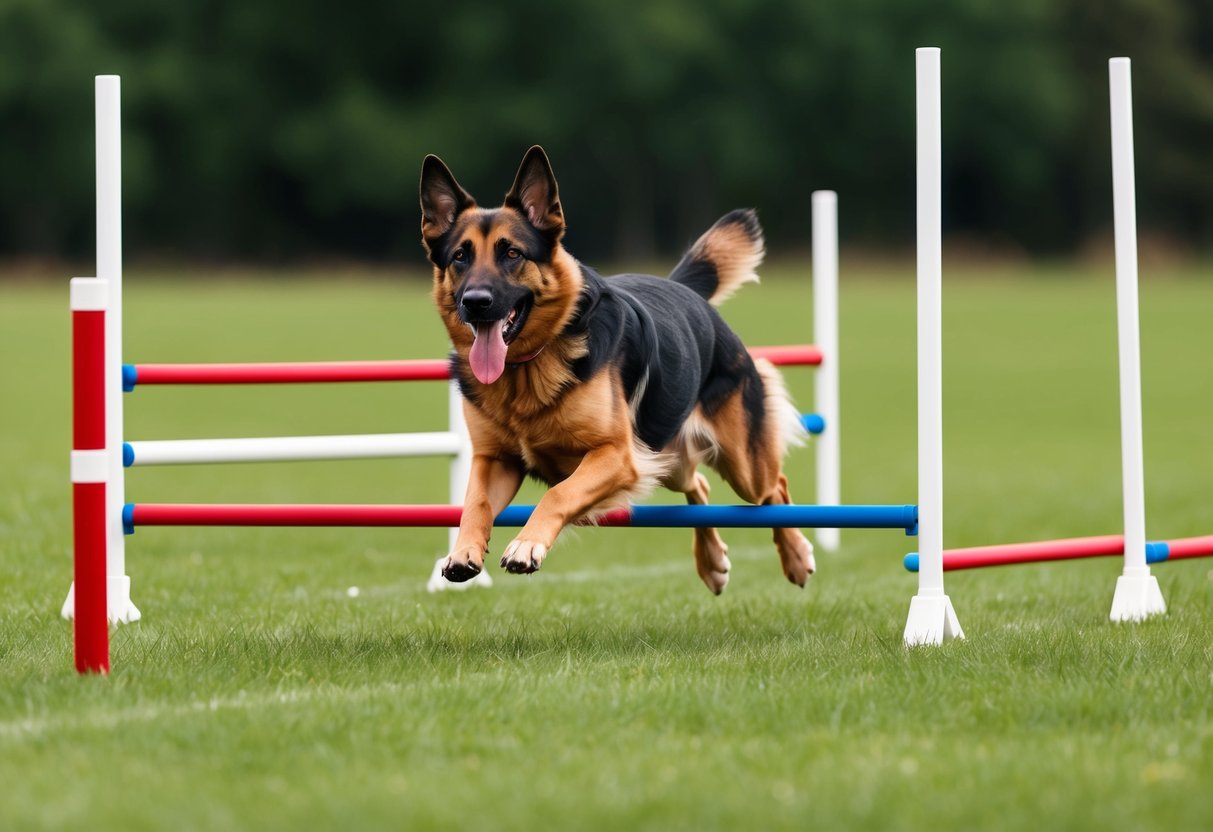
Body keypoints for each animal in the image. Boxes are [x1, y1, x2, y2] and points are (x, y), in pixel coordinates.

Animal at [419, 148, 815, 594]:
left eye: (512, 254)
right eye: (460, 256)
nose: (475, 301)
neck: (528, 367)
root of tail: (686, 291)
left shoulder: (615, 456)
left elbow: (558, 495)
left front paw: (526, 545)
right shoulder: (495, 461)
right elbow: (475, 503)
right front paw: (462, 552)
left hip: (743, 465)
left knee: (775, 490)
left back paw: (796, 556)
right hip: (668, 458)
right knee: (699, 485)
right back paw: (711, 561)